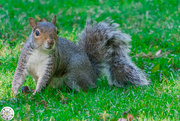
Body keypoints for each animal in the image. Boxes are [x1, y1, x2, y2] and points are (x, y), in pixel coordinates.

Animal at [11, 15, 151, 95]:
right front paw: (14, 94)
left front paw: (36, 94)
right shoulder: (24, 60)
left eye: (57, 31)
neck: (41, 51)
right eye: (37, 33)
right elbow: (19, 76)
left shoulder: (50, 64)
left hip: (74, 75)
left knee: (87, 89)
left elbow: (44, 79)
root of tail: (92, 73)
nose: (50, 42)